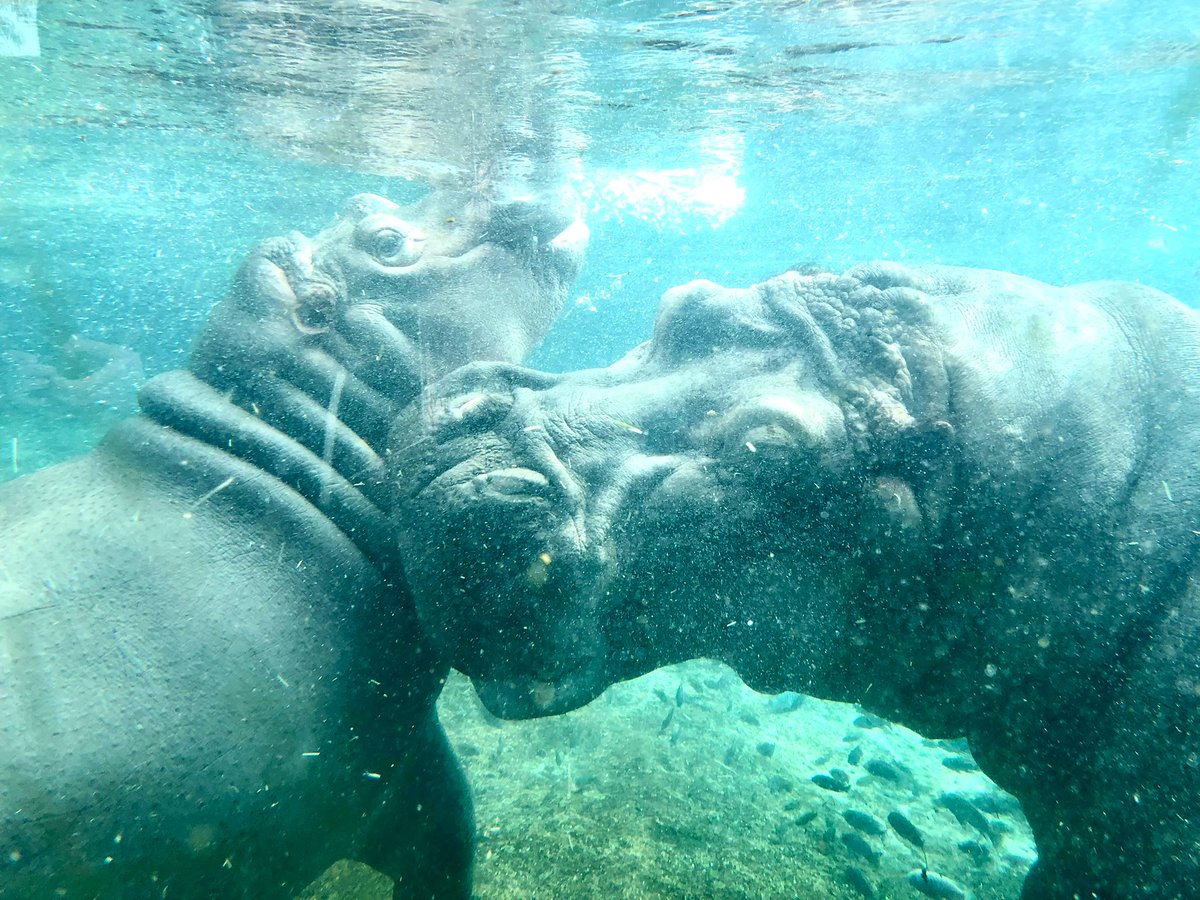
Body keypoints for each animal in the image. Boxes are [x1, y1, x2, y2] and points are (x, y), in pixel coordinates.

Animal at [0, 189, 587, 898]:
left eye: (363, 199)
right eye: (387, 240)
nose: (521, 189)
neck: (253, 457)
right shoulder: (393, 760)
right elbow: (450, 841)